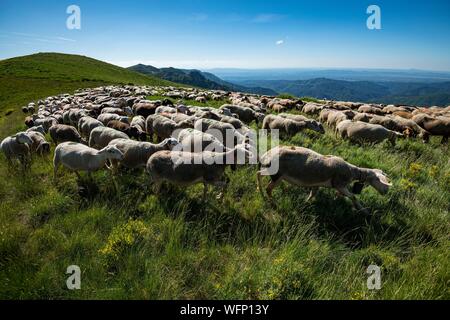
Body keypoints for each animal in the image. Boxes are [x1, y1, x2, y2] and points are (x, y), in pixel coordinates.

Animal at [258, 146, 392, 212]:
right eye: (380, 180)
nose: (386, 192)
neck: (352, 171)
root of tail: (267, 155)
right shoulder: (339, 184)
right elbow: (353, 197)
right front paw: (363, 210)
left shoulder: (317, 184)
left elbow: (313, 194)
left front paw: (306, 203)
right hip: (276, 174)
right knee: (266, 185)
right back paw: (270, 201)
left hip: (275, 174)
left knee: (259, 174)